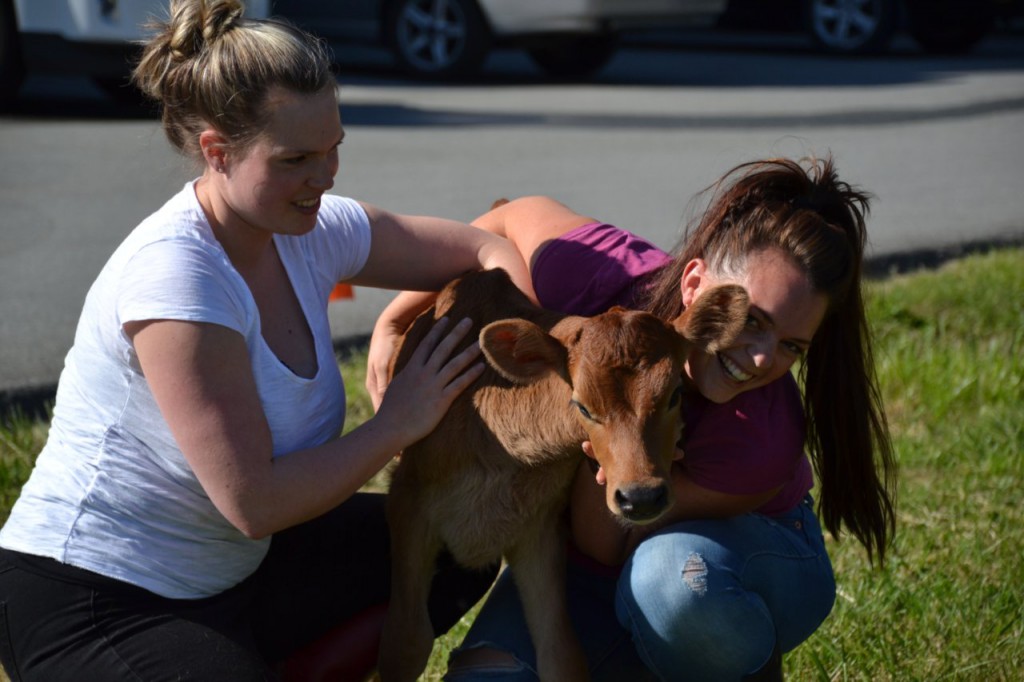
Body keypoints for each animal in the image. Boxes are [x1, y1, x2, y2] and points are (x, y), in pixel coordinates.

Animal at [376, 268, 745, 675]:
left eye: (675, 394)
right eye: (582, 407)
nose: (642, 496)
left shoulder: (540, 528)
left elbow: (561, 653)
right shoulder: (407, 502)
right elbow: (406, 640)